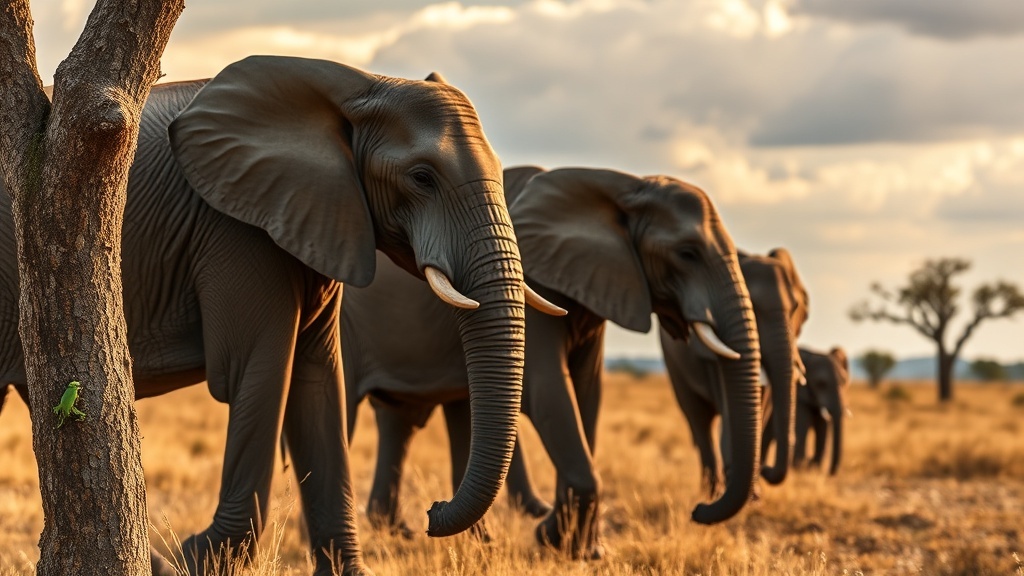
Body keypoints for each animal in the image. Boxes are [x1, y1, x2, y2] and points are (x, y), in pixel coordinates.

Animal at [0, 56, 558, 576]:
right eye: (422, 178)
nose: (432, 511)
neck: (360, 84)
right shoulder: (236, 229)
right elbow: (261, 372)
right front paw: (191, 558)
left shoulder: (319, 220)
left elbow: (317, 384)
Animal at [341, 165, 763, 558]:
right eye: (687, 253)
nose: (699, 509)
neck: (621, 187)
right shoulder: (538, 284)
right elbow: (547, 390)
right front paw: (553, 539)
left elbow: (586, 394)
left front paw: (584, 551)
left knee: (407, 417)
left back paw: (410, 533)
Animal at [657, 249, 809, 497]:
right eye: (753, 309)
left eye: (795, 309)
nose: (767, 470)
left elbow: (763, 403)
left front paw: (754, 494)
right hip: (673, 362)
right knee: (699, 420)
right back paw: (709, 492)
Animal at [764, 346, 850, 475]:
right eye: (821, 384)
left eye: (844, 382)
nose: (829, 474)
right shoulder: (799, 396)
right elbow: (802, 426)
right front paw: (799, 469)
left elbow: (822, 426)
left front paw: (813, 468)